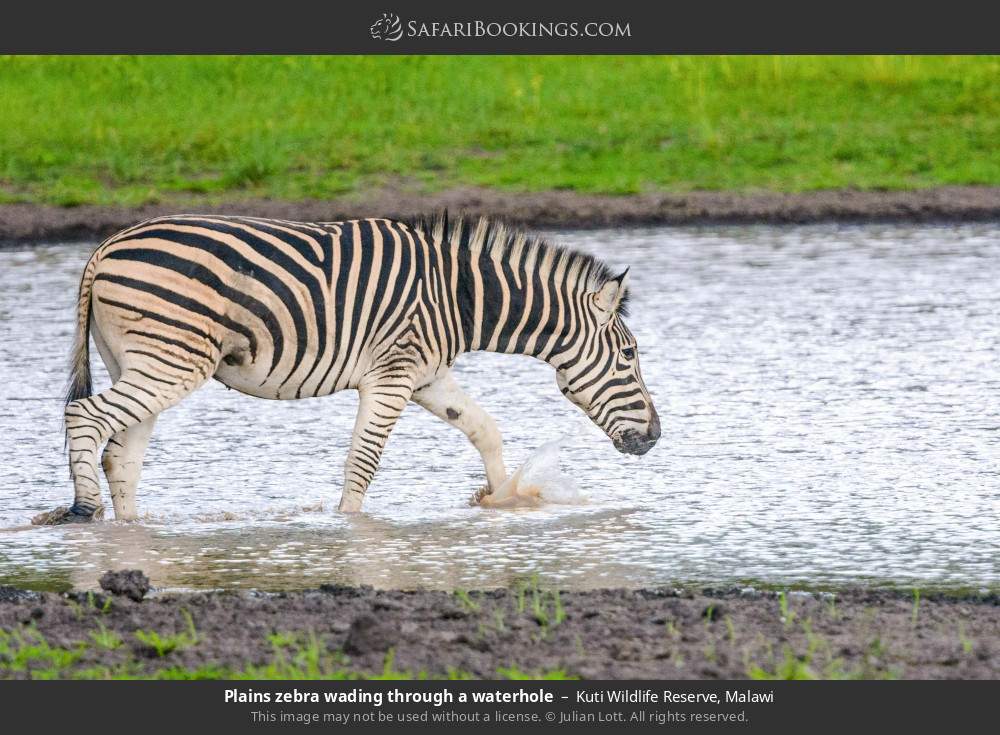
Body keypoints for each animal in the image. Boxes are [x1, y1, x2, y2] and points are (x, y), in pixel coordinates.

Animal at [37, 214, 660, 524]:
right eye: (629, 356)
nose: (656, 437)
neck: (458, 296)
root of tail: (104, 248)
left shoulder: (427, 376)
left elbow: (484, 428)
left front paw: (503, 500)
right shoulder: (393, 375)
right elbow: (363, 462)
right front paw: (351, 530)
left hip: (141, 361)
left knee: (122, 456)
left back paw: (132, 534)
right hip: (170, 361)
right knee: (85, 418)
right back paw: (84, 510)